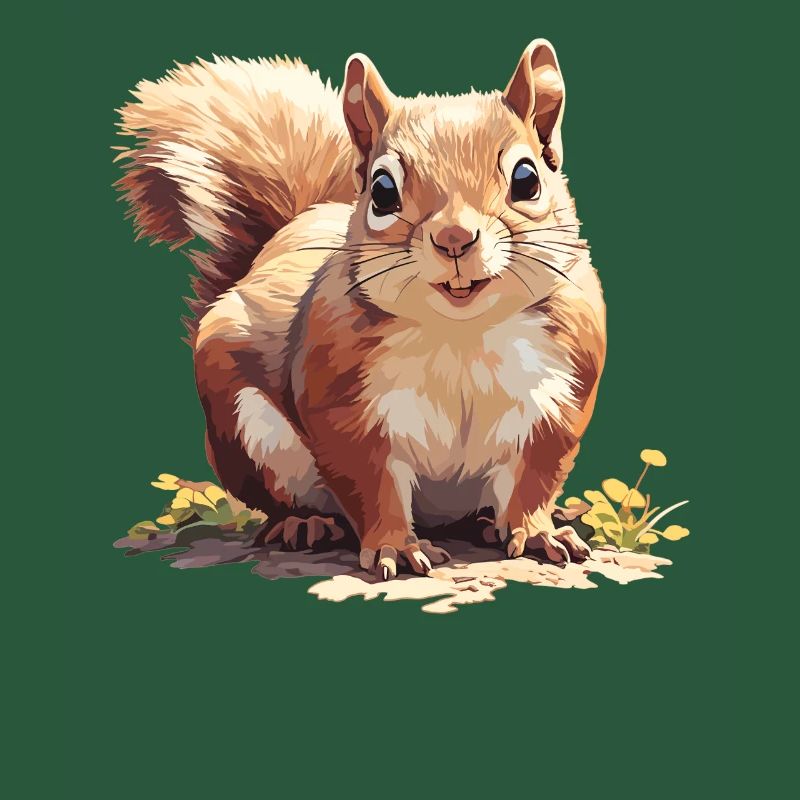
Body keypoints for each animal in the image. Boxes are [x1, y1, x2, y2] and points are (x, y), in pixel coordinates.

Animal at [115, 39, 606, 580]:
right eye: (382, 190)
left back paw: (484, 523)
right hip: (247, 433)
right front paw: (395, 547)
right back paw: (303, 524)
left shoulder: (560, 398)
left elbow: (534, 481)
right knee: (280, 499)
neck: (462, 333)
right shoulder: (343, 404)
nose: (454, 238)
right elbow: (372, 485)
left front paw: (540, 533)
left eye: (527, 179)